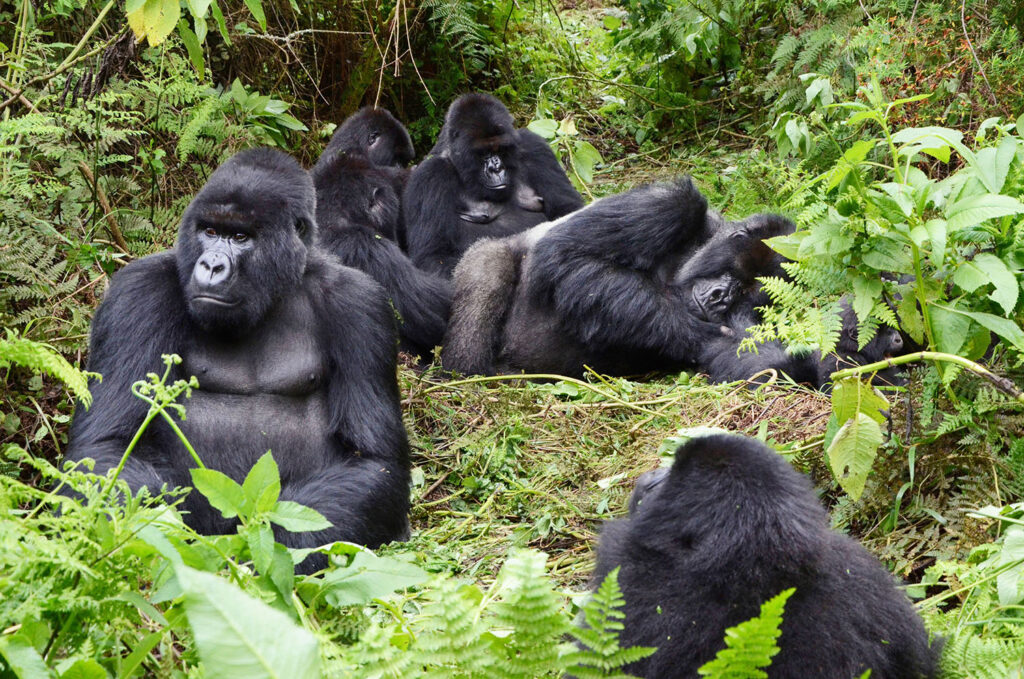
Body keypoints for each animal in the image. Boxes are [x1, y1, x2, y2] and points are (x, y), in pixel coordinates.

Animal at [66, 148, 411, 573]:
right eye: (210, 232)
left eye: (240, 237)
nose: (212, 266)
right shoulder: (135, 293)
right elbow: (105, 446)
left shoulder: (362, 304)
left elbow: (374, 460)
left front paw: (275, 549)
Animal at [405, 94, 589, 278]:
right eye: (483, 153)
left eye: (501, 149)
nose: (497, 168)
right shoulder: (431, 175)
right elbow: (434, 255)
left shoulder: (534, 146)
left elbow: (568, 209)